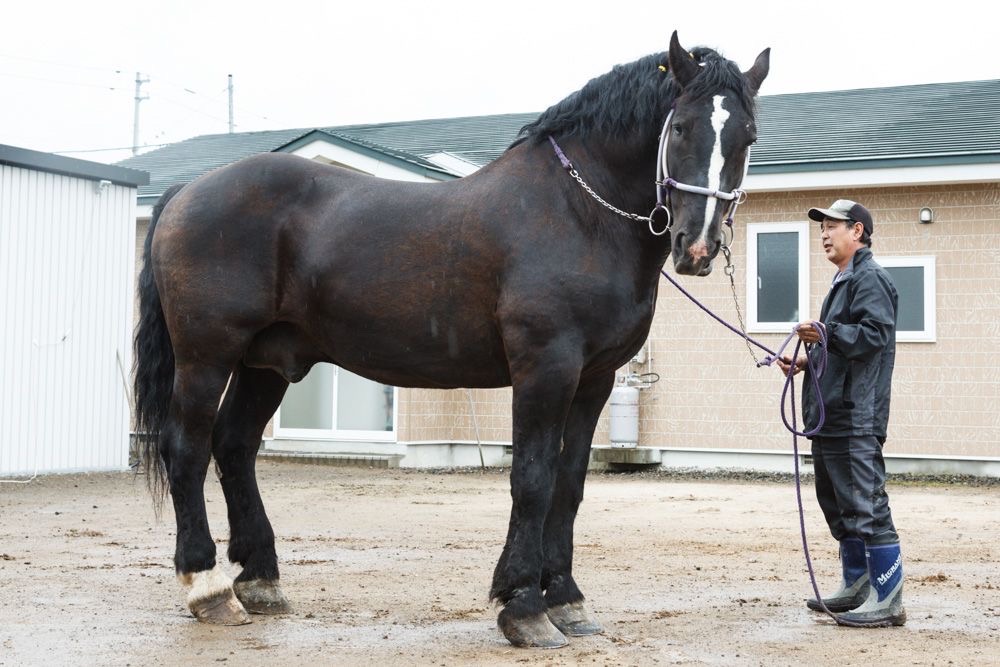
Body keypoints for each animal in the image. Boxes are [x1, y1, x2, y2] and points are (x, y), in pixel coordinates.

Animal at [133, 31, 769, 648]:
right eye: (680, 127)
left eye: (747, 135)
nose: (697, 246)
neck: (578, 212)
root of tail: (187, 191)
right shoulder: (546, 368)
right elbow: (533, 478)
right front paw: (524, 606)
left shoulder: (595, 378)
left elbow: (569, 483)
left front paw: (567, 600)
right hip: (206, 356)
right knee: (187, 447)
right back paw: (207, 586)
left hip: (265, 363)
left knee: (235, 446)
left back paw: (259, 579)